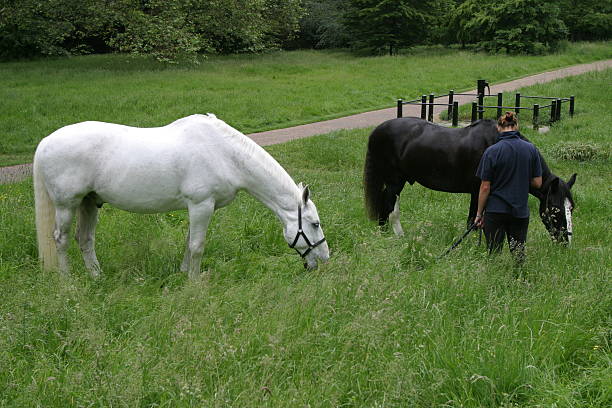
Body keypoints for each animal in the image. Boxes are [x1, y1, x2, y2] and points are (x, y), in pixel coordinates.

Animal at [33, 113, 330, 278]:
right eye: (315, 224)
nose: (324, 259)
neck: (224, 153)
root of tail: (45, 142)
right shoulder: (201, 205)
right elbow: (197, 245)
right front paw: (194, 283)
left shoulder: (198, 208)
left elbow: (189, 243)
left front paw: (184, 273)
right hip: (67, 205)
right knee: (60, 239)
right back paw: (67, 281)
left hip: (89, 203)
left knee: (85, 239)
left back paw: (96, 276)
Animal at [364, 117, 580, 242]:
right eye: (555, 209)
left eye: (571, 208)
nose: (565, 242)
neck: (497, 142)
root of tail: (378, 130)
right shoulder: (478, 191)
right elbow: (473, 222)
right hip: (395, 181)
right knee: (389, 206)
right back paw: (395, 236)